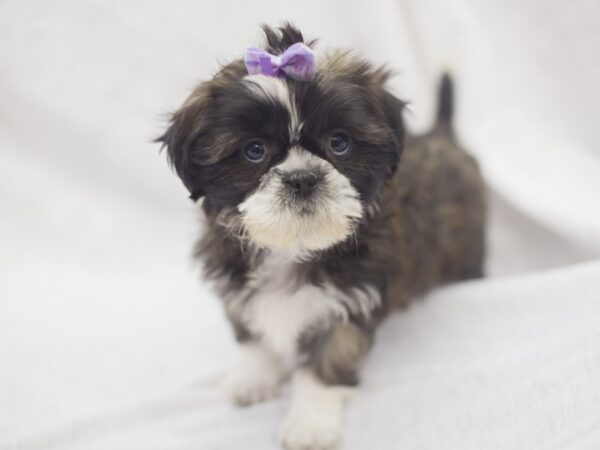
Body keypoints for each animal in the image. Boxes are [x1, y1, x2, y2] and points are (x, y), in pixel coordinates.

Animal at [157, 23, 486, 450]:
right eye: (254, 150)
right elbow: (252, 331)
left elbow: (326, 362)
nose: (302, 178)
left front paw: (309, 423)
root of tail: (444, 136)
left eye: (339, 143)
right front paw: (253, 377)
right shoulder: (235, 279)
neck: (292, 247)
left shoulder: (349, 301)